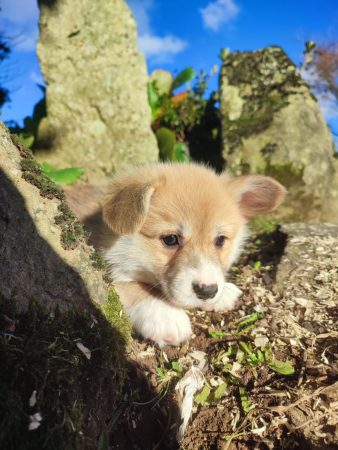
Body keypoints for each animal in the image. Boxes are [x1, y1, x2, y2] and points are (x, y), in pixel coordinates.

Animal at [66, 163, 286, 346]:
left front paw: (224, 294)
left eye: (220, 240)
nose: (207, 291)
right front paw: (166, 315)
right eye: (171, 239)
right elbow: (129, 287)